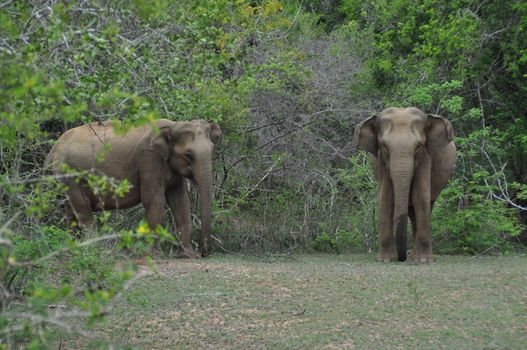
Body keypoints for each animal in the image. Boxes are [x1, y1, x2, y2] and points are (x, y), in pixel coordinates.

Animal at [46, 118, 225, 258]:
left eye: (212, 150)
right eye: (189, 155)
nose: (204, 253)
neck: (173, 125)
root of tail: (54, 147)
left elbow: (180, 201)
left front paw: (188, 255)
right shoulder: (149, 160)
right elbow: (154, 200)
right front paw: (153, 255)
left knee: (70, 210)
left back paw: (72, 248)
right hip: (70, 174)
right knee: (82, 208)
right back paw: (96, 250)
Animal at [352, 106, 456, 262]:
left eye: (418, 146)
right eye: (384, 146)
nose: (401, 258)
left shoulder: (426, 156)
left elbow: (421, 196)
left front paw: (423, 261)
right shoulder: (382, 163)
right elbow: (386, 198)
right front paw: (385, 260)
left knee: (426, 205)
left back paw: (415, 256)